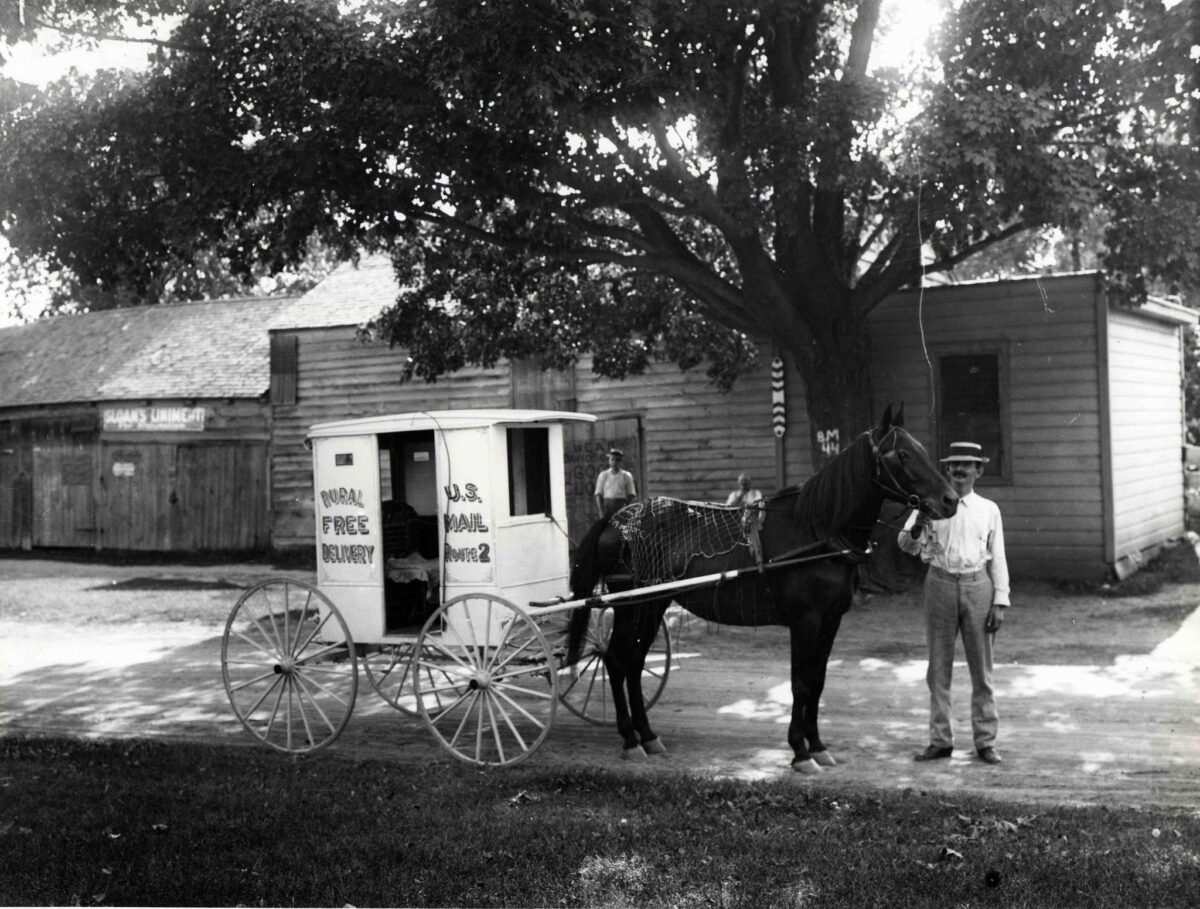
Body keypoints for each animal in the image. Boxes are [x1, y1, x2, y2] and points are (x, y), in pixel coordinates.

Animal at [566, 405, 960, 777]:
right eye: (903, 454)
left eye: (922, 450)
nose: (951, 499)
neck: (817, 531)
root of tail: (618, 518)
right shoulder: (805, 620)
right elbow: (800, 683)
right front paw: (800, 752)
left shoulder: (831, 620)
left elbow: (817, 681)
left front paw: (817, 746)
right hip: (633, 606)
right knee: (616, 662)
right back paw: (630, 739)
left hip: (653, 605)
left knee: (632, 664)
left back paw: (647, 736)